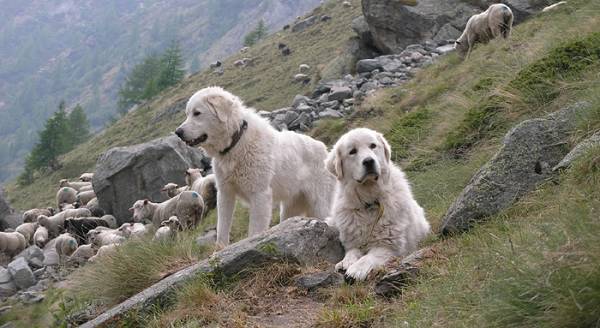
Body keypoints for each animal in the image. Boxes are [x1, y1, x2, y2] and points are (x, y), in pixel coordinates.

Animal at [176, 87, 336, 246]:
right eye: (187, 114)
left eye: (197, 113)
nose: (178, 132)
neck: (236, 143)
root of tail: (324, 149)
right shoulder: (225, 194)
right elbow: (222, 229)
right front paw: (219, 250)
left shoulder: (260, 196)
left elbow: (255, 232)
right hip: (289, 209)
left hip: (320, 205)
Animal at [326, 127, 428, 280]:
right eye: (352, 151)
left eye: (373, 146)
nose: (369, 161)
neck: (369, 201)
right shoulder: (354, 243)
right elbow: (352, 252)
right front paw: (346, 262)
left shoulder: (389, 246)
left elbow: (368, 257)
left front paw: (356, 269)